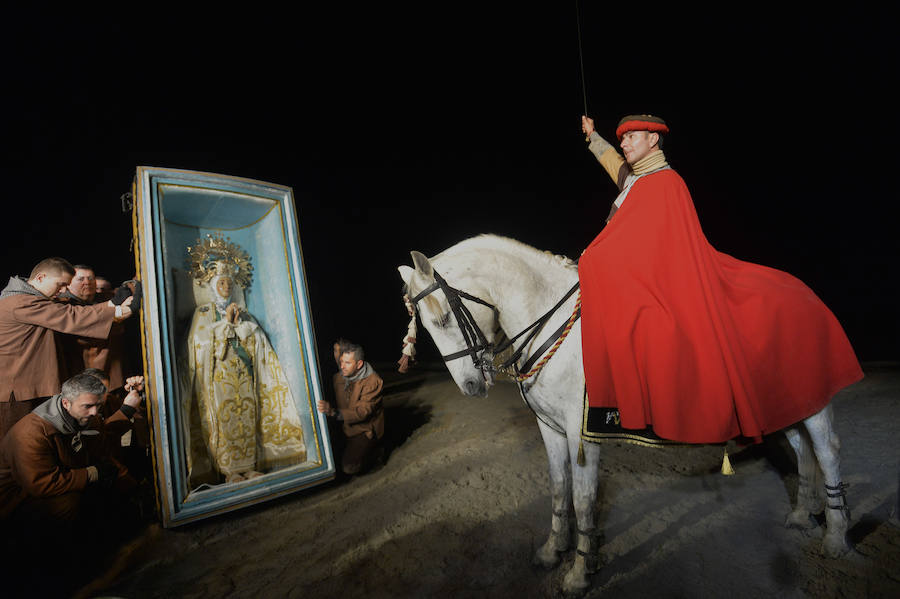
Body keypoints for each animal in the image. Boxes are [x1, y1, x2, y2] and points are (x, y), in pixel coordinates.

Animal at [400, 234, 852, 596]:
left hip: (813, 403)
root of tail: (805, 293)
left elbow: (583, 499)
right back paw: (801, 515)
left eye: (443, 317)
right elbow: (558, 488)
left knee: (828, 451)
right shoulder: (550, 428)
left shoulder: (582, 434)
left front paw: (579, 573)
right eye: (426, 325)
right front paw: (551, 551)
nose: (471, 386)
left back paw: (835, 536)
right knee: (803, 451)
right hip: (781, 404)